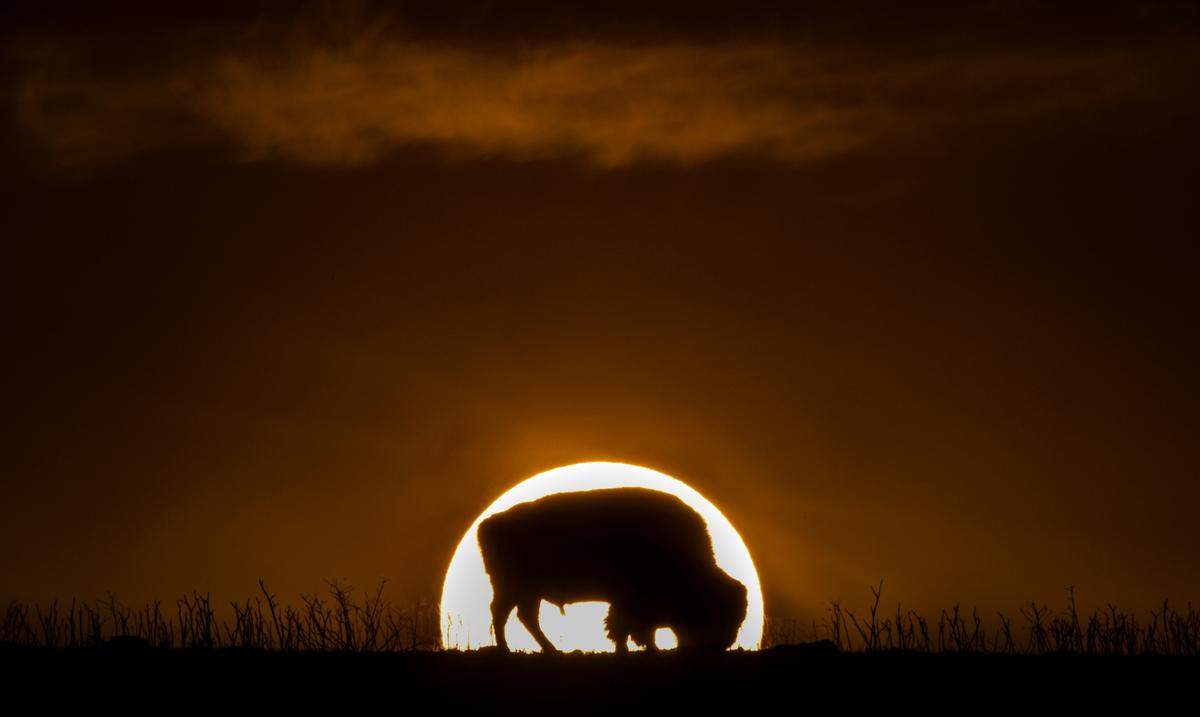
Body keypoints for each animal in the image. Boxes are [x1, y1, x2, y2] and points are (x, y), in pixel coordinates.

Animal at [478, 487, 747, 653]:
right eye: (717, 610)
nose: (720, 645)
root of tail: (489, 523)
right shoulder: (630, 599)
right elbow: (628, 625)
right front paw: (643, 648)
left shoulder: (624, 600)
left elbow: (625, 626)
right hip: (515, 588)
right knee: (504, 613)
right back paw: (509, 649)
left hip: (526, 592)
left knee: (522, 616)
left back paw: (549, 650)